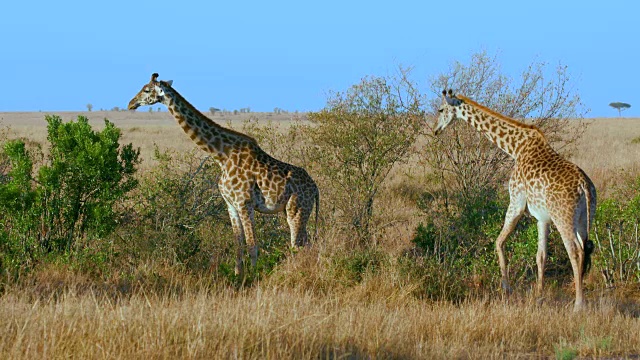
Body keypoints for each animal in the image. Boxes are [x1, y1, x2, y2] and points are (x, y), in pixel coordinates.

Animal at [127, 72, 320, 276]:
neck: (221, 155)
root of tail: (315, 188)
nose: (131, 104)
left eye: (146, 90)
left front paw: (253, 277)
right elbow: (238, 245)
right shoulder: (230, 204)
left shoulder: (244, 203)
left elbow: (252, 245)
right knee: (305, 243)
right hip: (294, 210)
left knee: (297, 245)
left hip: (297, 209)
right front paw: (237, 275)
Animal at [436, 89, 596, 310]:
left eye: (441, 110)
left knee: (575, 251)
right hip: (584, 218)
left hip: (563, 218)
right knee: (586, 250)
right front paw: (539, 296)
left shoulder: (516, 203)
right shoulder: (542, 218)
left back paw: (579, 305)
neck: (516, 147)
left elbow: (498, 242)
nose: (436, 130)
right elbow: (541, 255)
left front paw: (506, 288)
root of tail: (584, 186)